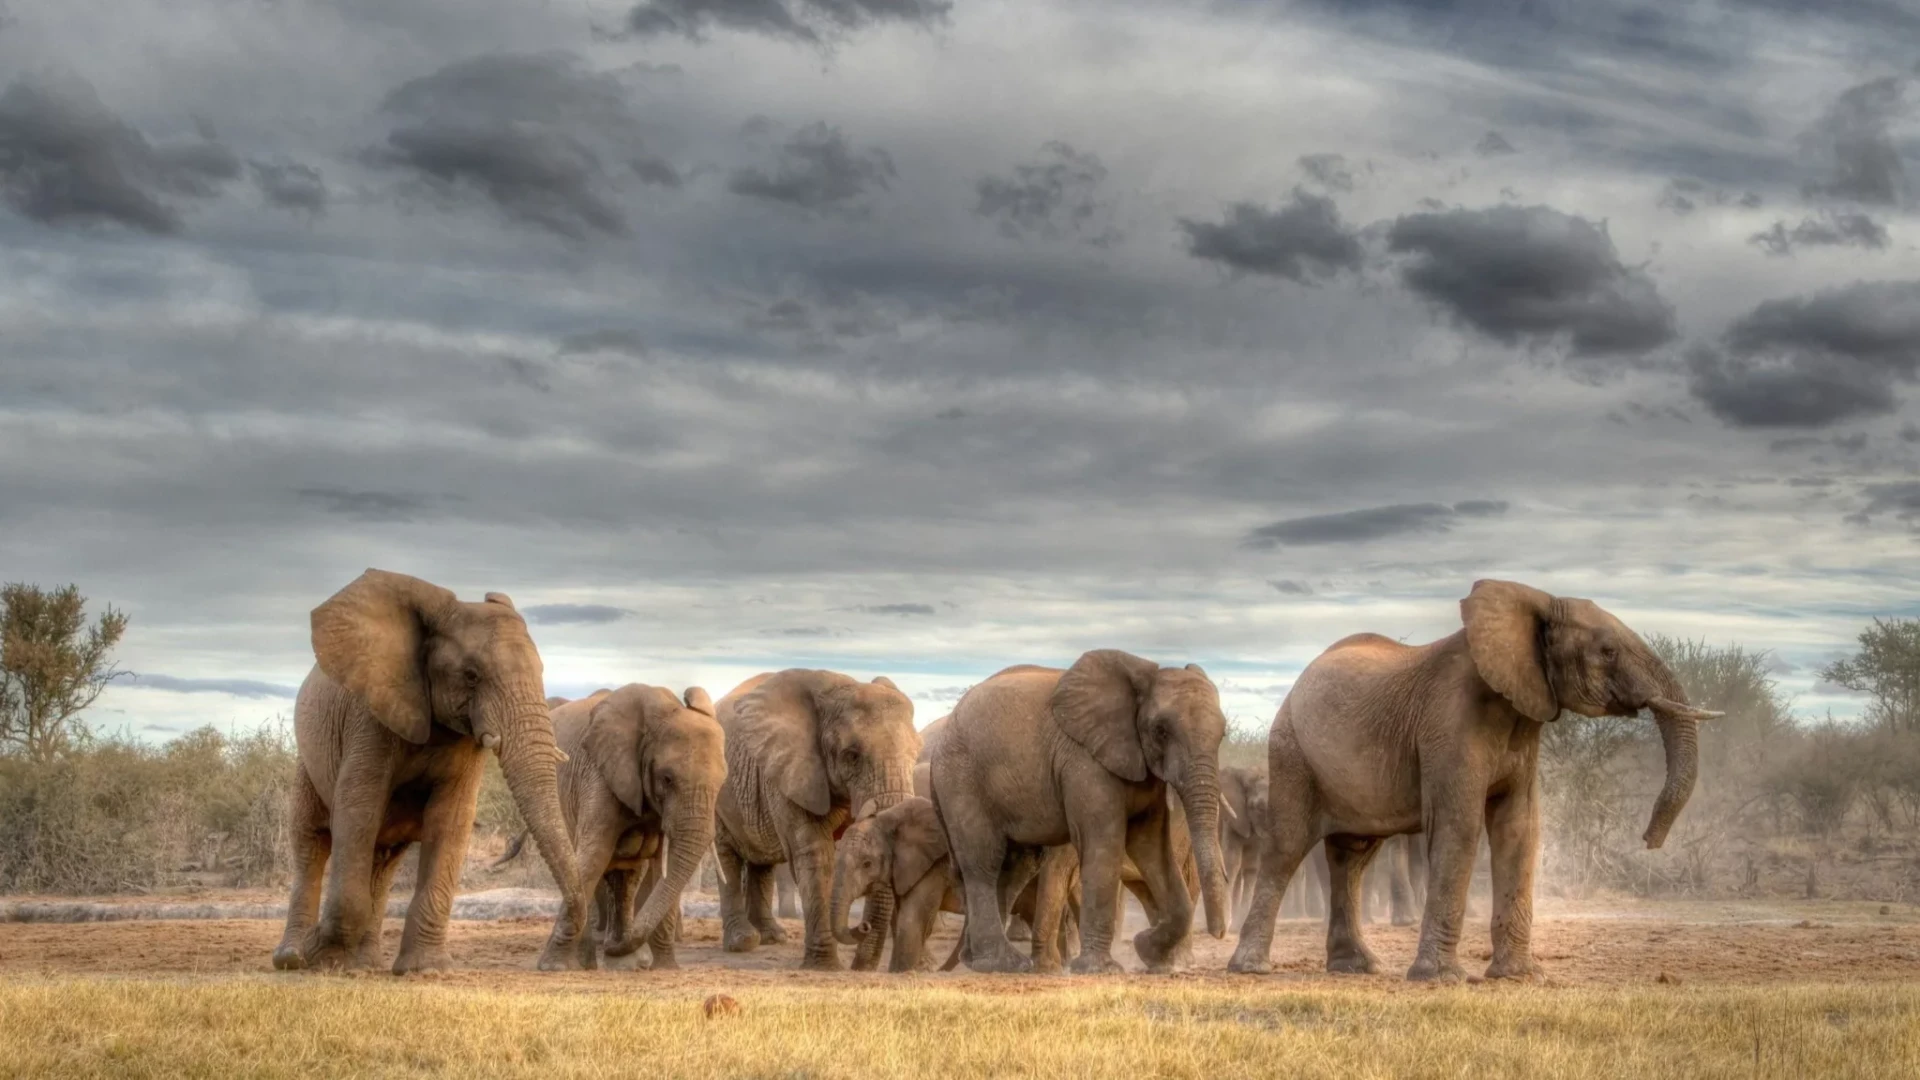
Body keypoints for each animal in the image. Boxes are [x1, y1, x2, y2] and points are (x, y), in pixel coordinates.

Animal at [271, 569, 585, 974]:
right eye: (471, 675)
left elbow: (450, 819)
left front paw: (426, 969)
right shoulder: (368, 717)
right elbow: (358, 809)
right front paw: (323, 957)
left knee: (383, 860)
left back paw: (365, 963)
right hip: (307, 763)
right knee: (310, 843)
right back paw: (294, 958)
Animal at [543, 683, 725, 970]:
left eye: (722, 782)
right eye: (667, 779)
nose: (614, 946)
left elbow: (662, 869)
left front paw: (666, 969)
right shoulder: (600, 777)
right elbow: (593, 857)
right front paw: (553, 967)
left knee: (629, 876)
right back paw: (590, 963)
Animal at [712, 669, 920, 970]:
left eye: (917, 754)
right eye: (852, 756)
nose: (863, 928)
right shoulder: (791, 771)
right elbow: (816, 854)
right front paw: (825, 966)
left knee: (761, 862)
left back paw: (773, 938)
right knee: (726, 853)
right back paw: (743, 942)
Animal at [930, 651, 1231, 974]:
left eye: (1223, 735)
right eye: (1161, 731)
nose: (1221, 933)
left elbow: (1151, 847)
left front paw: (1147, 949)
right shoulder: (1086, 762)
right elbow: (1103, 845)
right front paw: (1101, 969)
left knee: (1014, 867)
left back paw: (977, 961)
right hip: (962, 781)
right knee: (984, 862)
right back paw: (1003, 963)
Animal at [1229, 579, 1723, 982]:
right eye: (1607, 651)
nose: (1649, 840)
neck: (1534, 603)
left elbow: (1519, 829)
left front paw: (1520, 978)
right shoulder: (1449, 725)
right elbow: (1459, 827)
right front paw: (1441, 979)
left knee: (1353, 856)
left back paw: (1357, 968)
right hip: (1291, 749)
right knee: (1289, 846)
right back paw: (1251, 967)